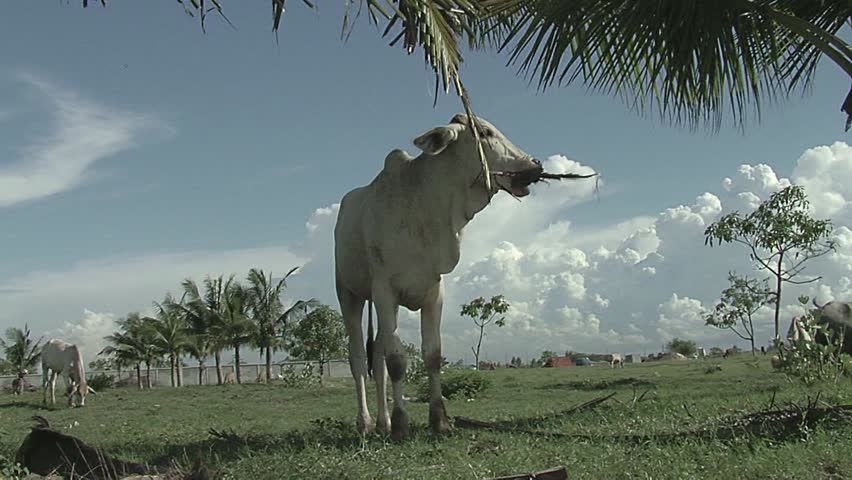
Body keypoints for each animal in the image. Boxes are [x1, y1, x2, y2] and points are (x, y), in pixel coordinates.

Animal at [334, 113, 544, 440]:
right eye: (484, 132)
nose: (535, 164)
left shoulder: (434, 293)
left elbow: (432, 356)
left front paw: (439, 421)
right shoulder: (384, 291)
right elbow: (397, 361)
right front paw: (402, 425)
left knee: (378, 361)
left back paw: (383, 422)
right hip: (349, 294)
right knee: (358, 360)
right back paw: (366, 423)